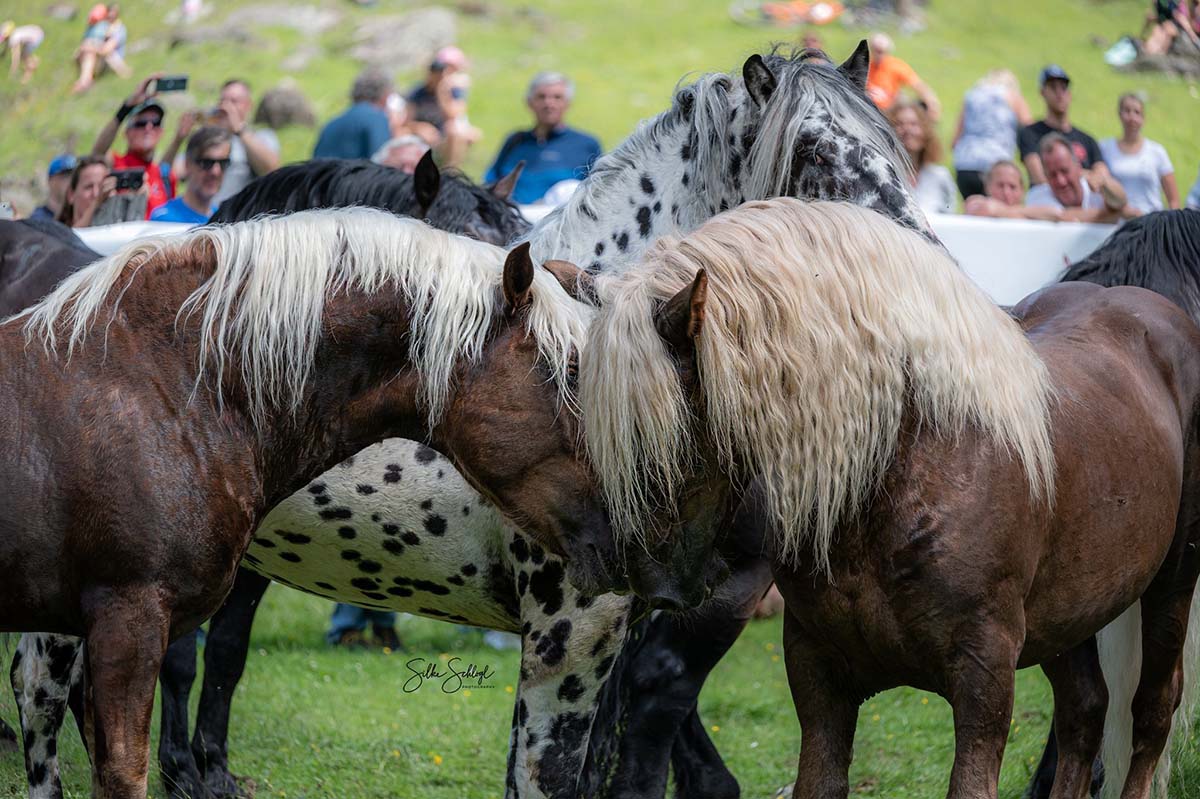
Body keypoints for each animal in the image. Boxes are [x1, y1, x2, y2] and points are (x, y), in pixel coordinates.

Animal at [571, 194, 1200, 796]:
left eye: (664, 426)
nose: (653, 583)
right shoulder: (818, 676)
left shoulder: (985, 677)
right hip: (1071, 614)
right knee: (1084, 714)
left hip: (1170, 582)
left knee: (1151, 711)